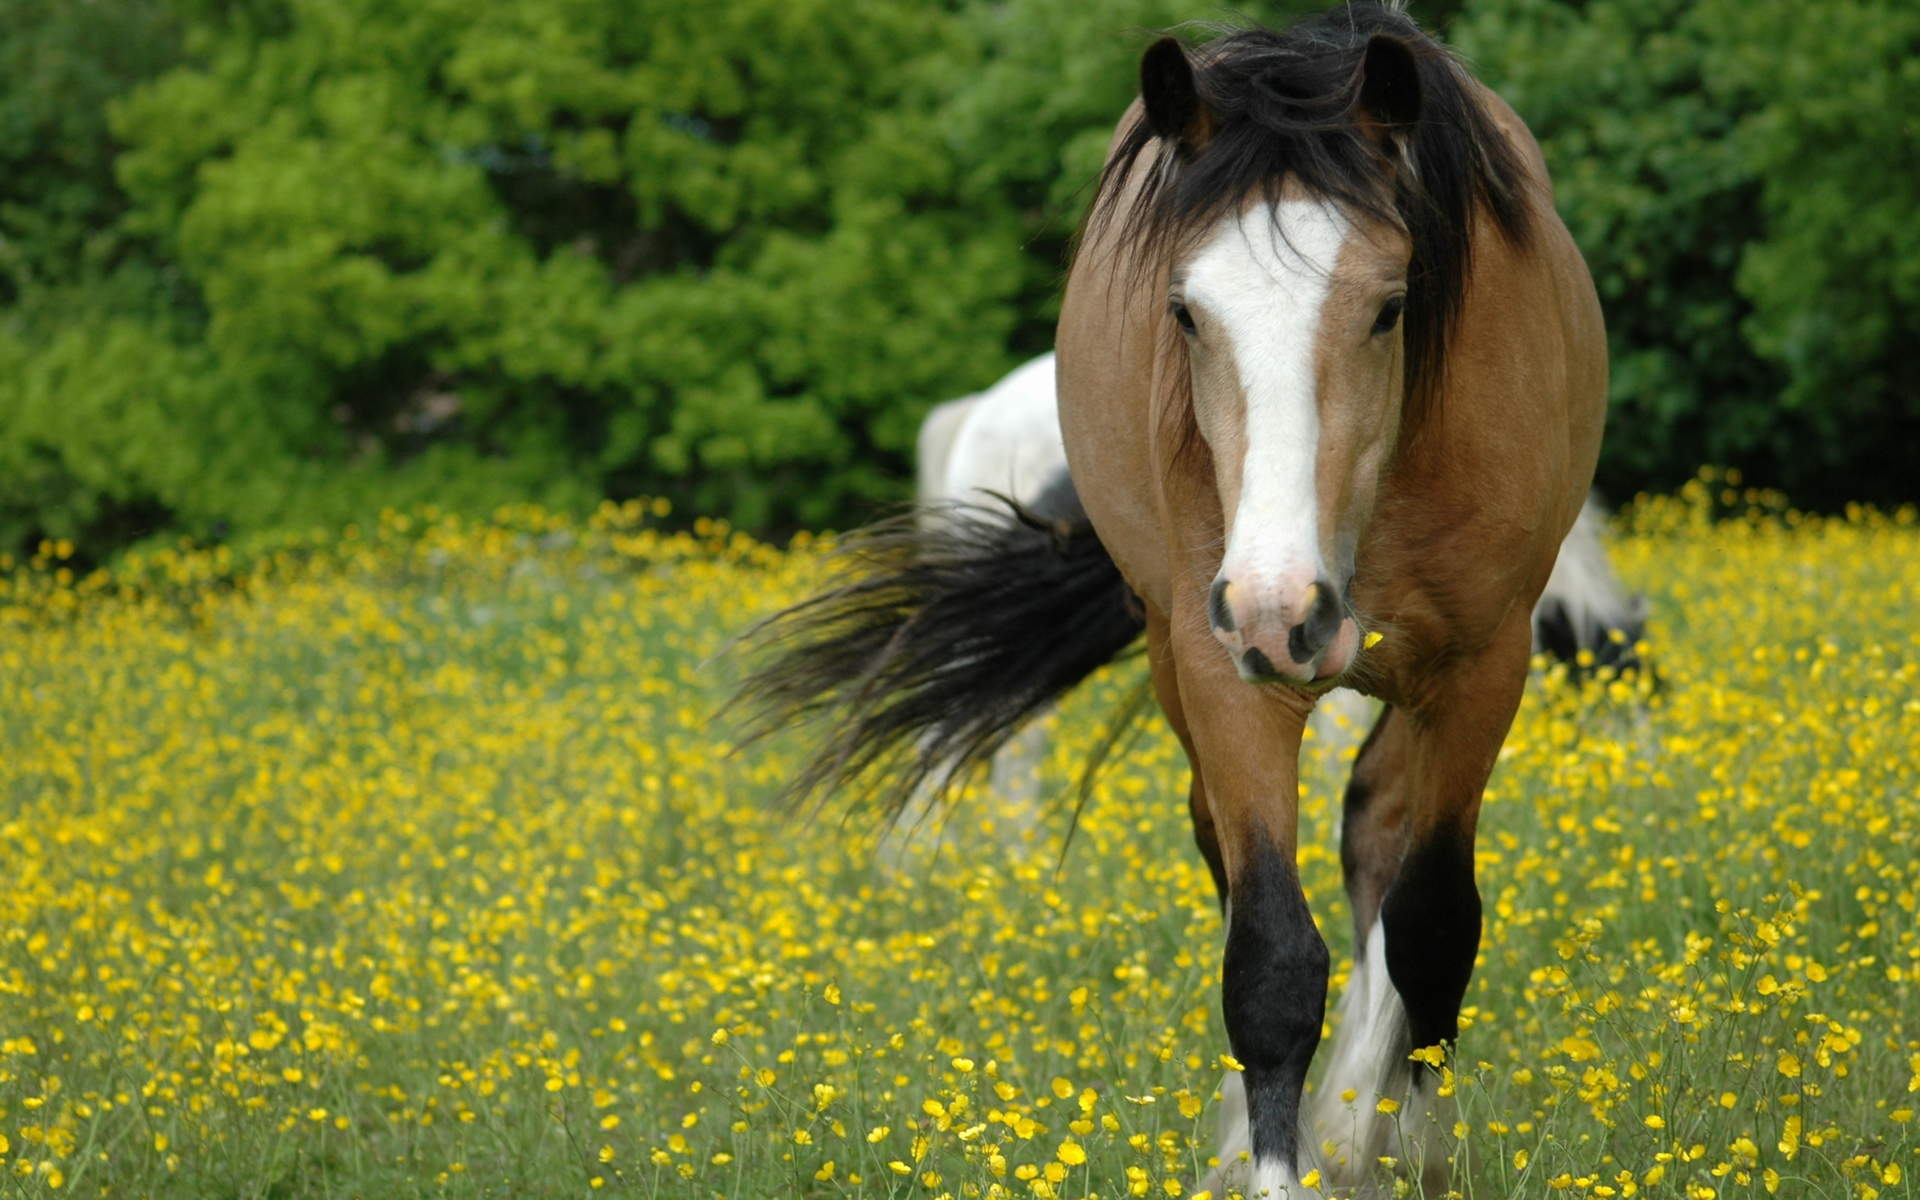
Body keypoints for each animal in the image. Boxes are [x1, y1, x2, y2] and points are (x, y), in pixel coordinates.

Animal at [735, 8, 1609, 1195]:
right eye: (1187, 313)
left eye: (1391, 307)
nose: (1285, 606)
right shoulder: (1227, 667)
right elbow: (1270, 959)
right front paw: (1278, 1160)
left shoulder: (1481, 667)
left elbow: (1432, 926)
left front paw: (1408, 1150)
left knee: (1378, 837)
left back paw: (1358, 1122)